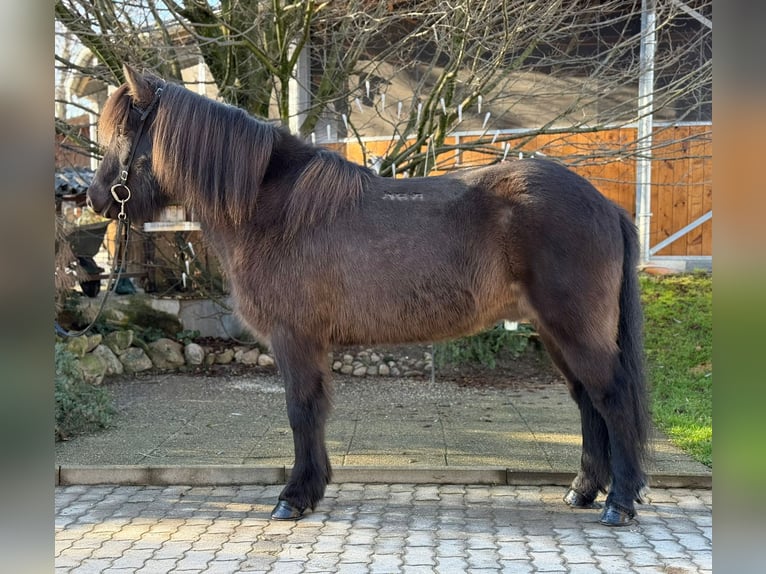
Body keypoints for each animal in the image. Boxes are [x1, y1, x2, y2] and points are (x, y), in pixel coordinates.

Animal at [91, 66, 656, 528]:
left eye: (123, 133)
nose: (94, 198)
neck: (273, 209)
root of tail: (605, 204)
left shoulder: (294, 339)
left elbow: (301, 410)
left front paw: (294, 497)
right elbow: (315, 410)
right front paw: (312, 488)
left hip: (575, 329)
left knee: (612, 397)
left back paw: (618, 503)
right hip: (553, 332)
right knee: (587, 400)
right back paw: (583, 491)